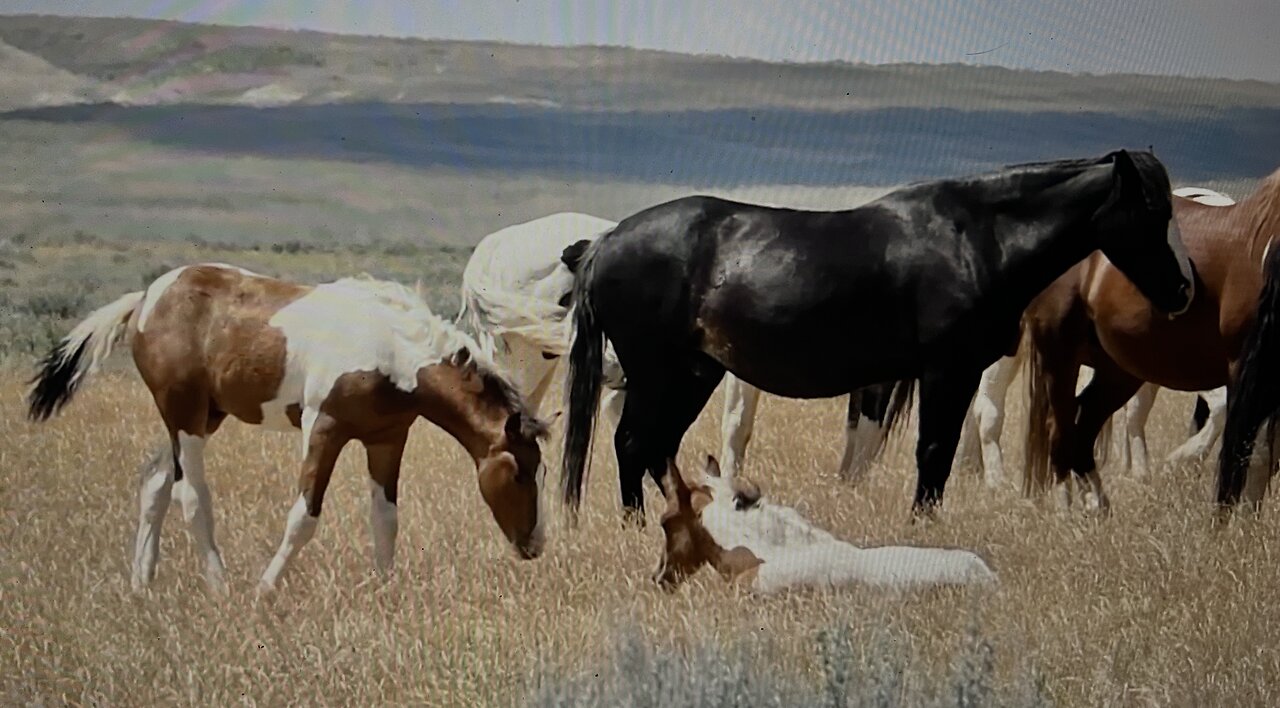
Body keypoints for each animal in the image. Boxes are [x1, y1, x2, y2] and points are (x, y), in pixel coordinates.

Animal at [26, 262, 545, 594]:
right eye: (519, 471)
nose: (534, 545)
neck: (390, 348)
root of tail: (147, 299)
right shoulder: (323, 429)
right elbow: (304, 517)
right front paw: (265, 590)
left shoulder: (386, 439)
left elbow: (386, 518)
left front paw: (386, 591)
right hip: (184, 416)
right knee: (191, 496)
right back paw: (220, 587)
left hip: (203, 417)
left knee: (154, 482)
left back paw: (141, 583)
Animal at [565, 149, 1192, 517]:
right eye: (1153, 211)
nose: (1186, 290)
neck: (974, 240)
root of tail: (607, 241)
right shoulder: (946, 371)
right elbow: (934, 452)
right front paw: (923, 527)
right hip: (659, 373)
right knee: (632, 444)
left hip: (694, 373)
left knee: (651, 447)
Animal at [1024, 168, 1280, 509]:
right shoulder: (1247, 371)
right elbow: (1244, 451)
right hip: (1059, 355)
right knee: (1060, 429)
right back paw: (1067, 507)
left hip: (1117, 370)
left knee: (1083, 426)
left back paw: (1098, 506)